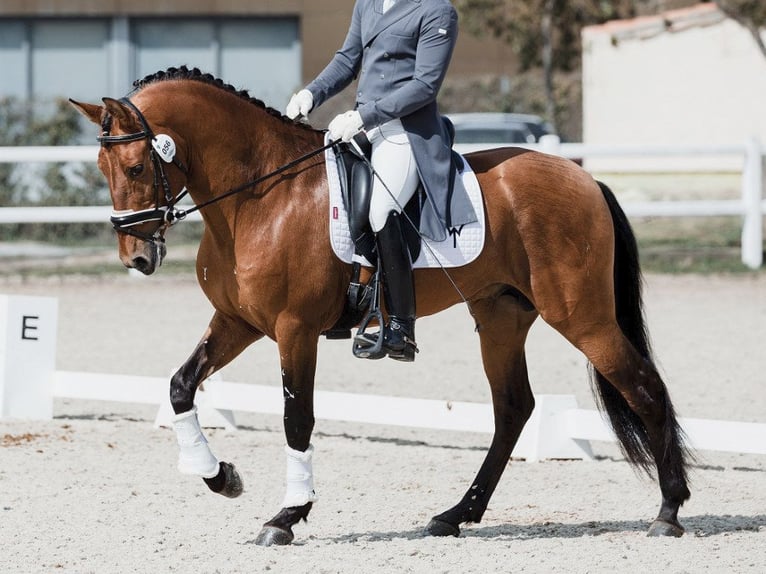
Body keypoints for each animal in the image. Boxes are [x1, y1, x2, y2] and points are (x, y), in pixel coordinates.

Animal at [72, 67, 692, 548]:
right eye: (102, 171)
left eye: (135, 168)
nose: (137, 258)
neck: (258, 197)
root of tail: (584, 177)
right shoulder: (239, 322)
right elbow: (180, 385)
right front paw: (219, 476)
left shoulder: (294, 329)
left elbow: (297, 418)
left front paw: (286, 516)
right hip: (500, 316)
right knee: (514, 409)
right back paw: (455, 515)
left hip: (581, 316)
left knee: (644, 387)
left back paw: (668, 512)